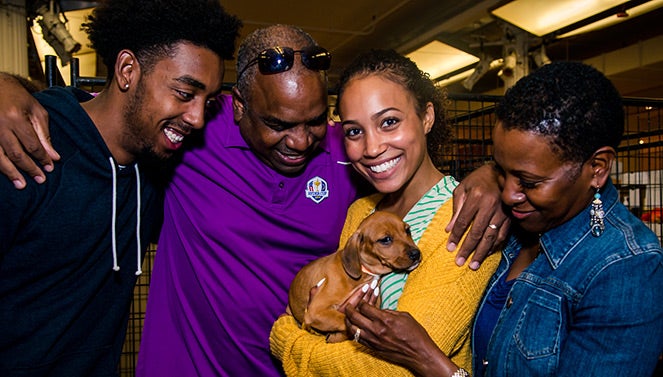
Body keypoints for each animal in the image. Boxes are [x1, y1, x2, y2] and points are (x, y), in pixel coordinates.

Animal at [286, 210, 420, 342]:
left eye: (407, 230)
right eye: (386, 239)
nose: (416, 254)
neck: (364, 273)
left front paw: (335, 336)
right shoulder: (316, 311)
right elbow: (344, 318)